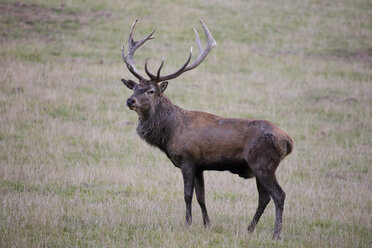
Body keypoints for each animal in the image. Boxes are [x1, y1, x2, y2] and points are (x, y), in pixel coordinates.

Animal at [120, 19, 292, 238]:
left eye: (151, 91)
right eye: (134, 88)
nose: (130, 100)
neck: (170, 132)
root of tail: (288, 141)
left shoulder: (187, 159)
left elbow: (187, 194)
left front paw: (187, 223)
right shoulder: (200, 165)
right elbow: (201, 196)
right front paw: (207, 224)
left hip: (264, 163)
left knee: (279, 195)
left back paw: (276, 233)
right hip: (260, 166)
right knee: (264, 198)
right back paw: (249, 228)